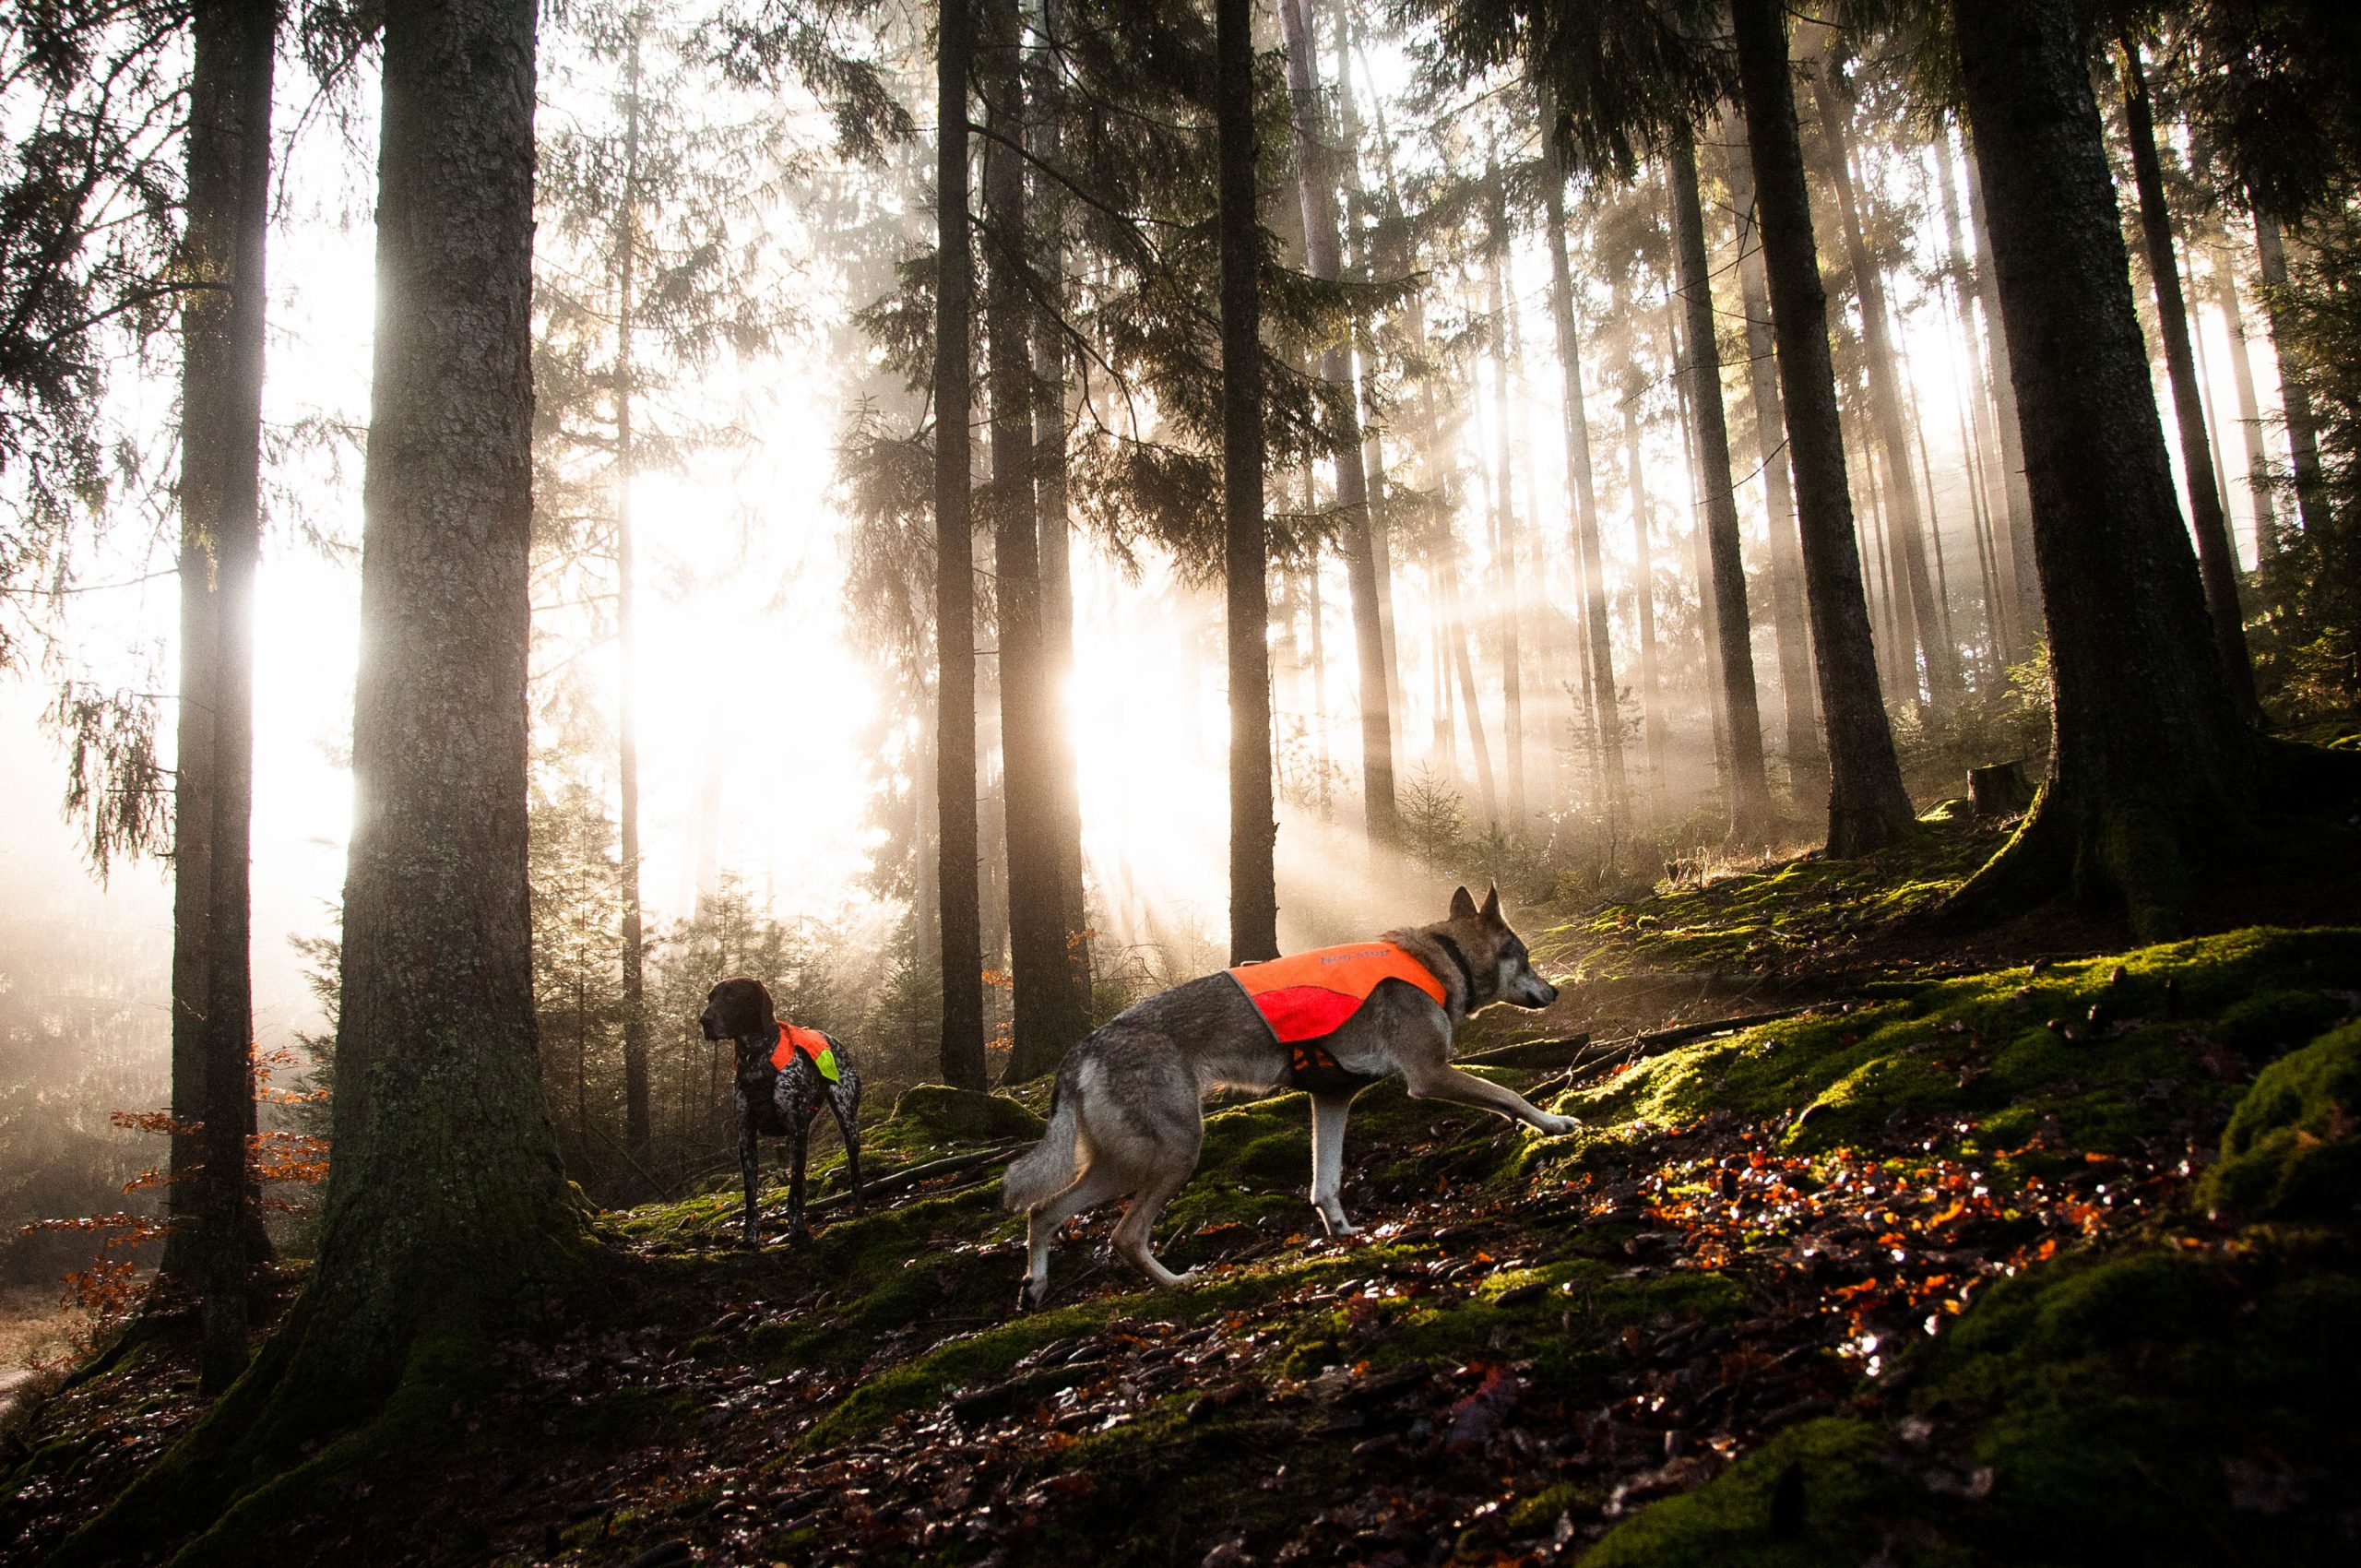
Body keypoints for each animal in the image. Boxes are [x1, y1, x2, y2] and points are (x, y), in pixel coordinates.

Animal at [1005, 887, 1577, 1303]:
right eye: (1527, 959)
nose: (1555, 992)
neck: (1443, 963)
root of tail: (1083, 1047)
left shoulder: (1333, 1099)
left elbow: (1325, 1184)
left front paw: (1343, 1232)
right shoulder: (1429, 1076)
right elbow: (1509, 1095)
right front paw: (1554, 1123)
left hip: (1120, 1164)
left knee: (1043, 1212)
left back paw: (1035, 1286)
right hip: (1172, 1155)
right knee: (1121, 1235)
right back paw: (1178, 1284)